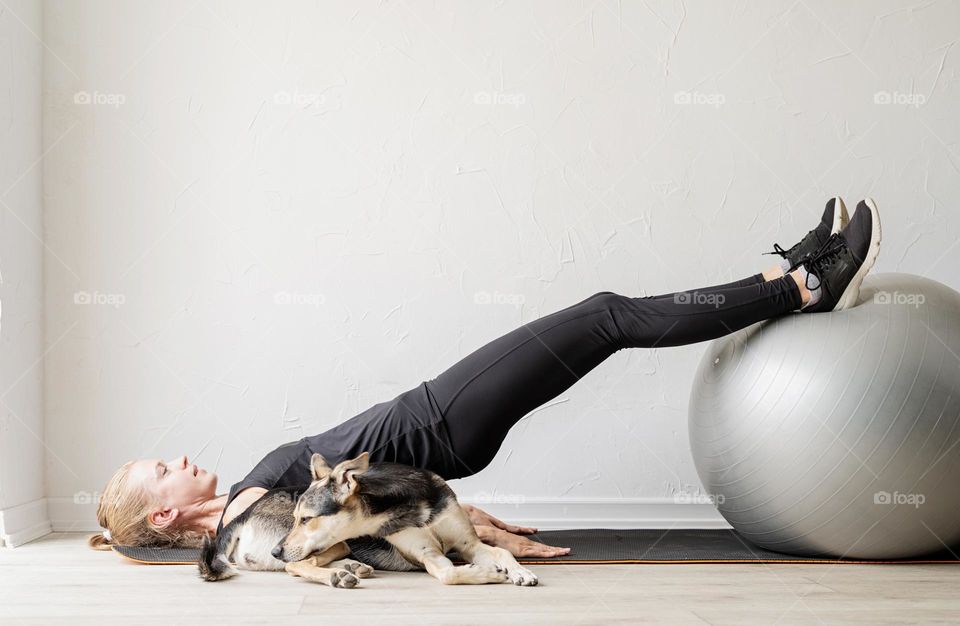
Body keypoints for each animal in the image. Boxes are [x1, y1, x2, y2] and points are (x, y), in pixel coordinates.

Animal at [197, 448, 540, 584]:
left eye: (306, 519)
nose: (275, 551)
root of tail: (242, 515)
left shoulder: (469, 543)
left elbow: (502, 552)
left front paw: (520, 572)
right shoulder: (427, 555)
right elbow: (449, 573)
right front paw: (488, 573)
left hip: (333, 544)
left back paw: (352, 568)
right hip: (327, 543)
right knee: (297, 566)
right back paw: (337, 576)